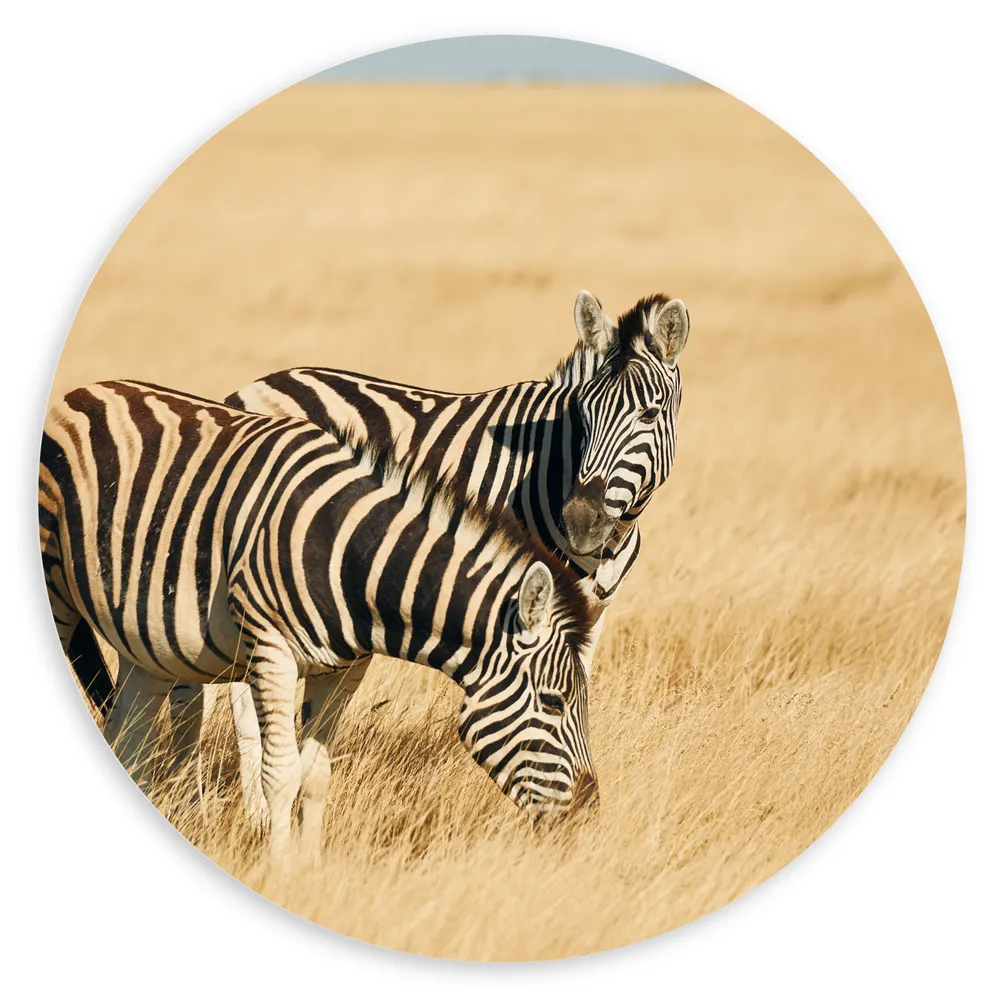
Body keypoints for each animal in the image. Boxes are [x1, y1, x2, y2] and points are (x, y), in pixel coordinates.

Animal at [39, 380, 598, 852]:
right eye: (553, 703)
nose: (589, 811)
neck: (354, 559)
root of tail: (84, 390)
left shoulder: (343, 671)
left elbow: (316, 776)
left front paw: (311, 867)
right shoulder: (271, 650)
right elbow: (281, 774)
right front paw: (282, 869)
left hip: (146, 644)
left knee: (126, 740)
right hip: (58, 594)